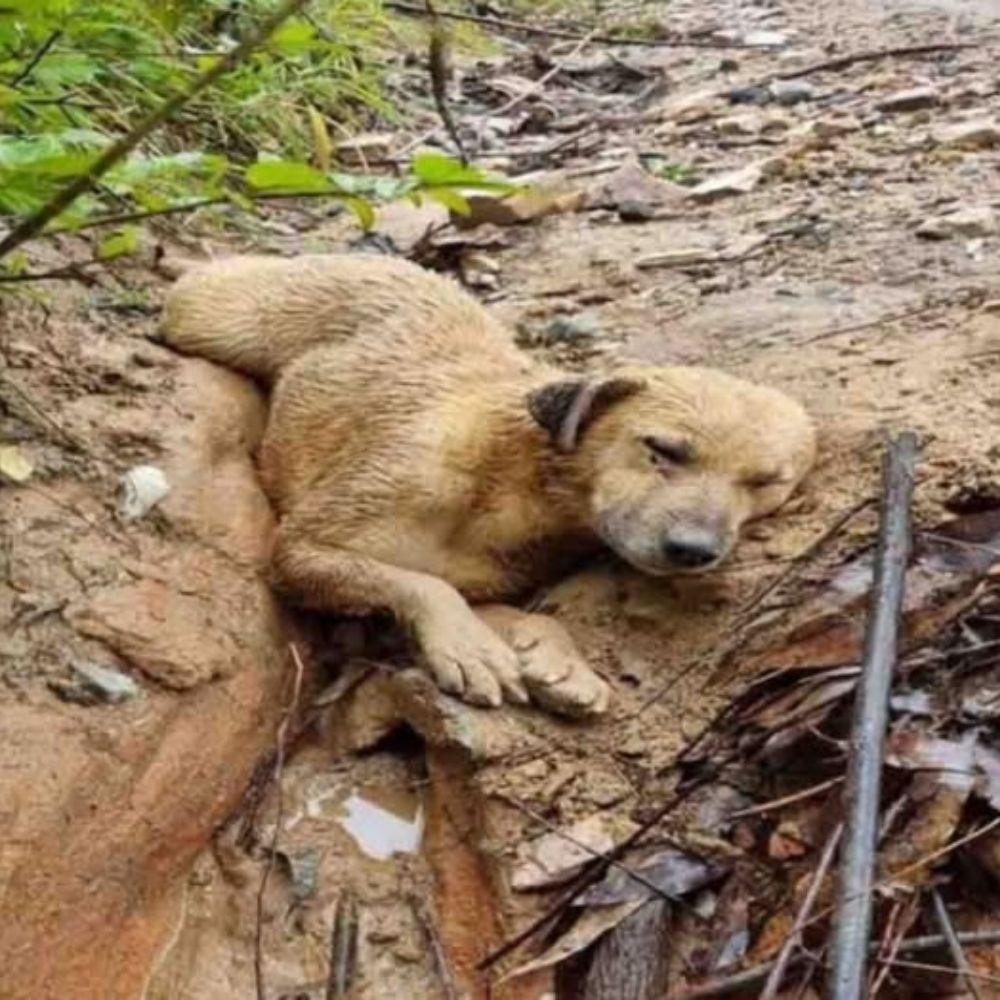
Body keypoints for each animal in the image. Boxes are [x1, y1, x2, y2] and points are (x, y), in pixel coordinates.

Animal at [160, 253, 816, 717]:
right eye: (664, 450)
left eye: (764, 483)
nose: (694, 551)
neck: (512, 481)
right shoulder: (303, 548)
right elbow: (419, 582)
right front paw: (466, 645)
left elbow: (495, 602)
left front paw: (558, 658)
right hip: (215, 317)